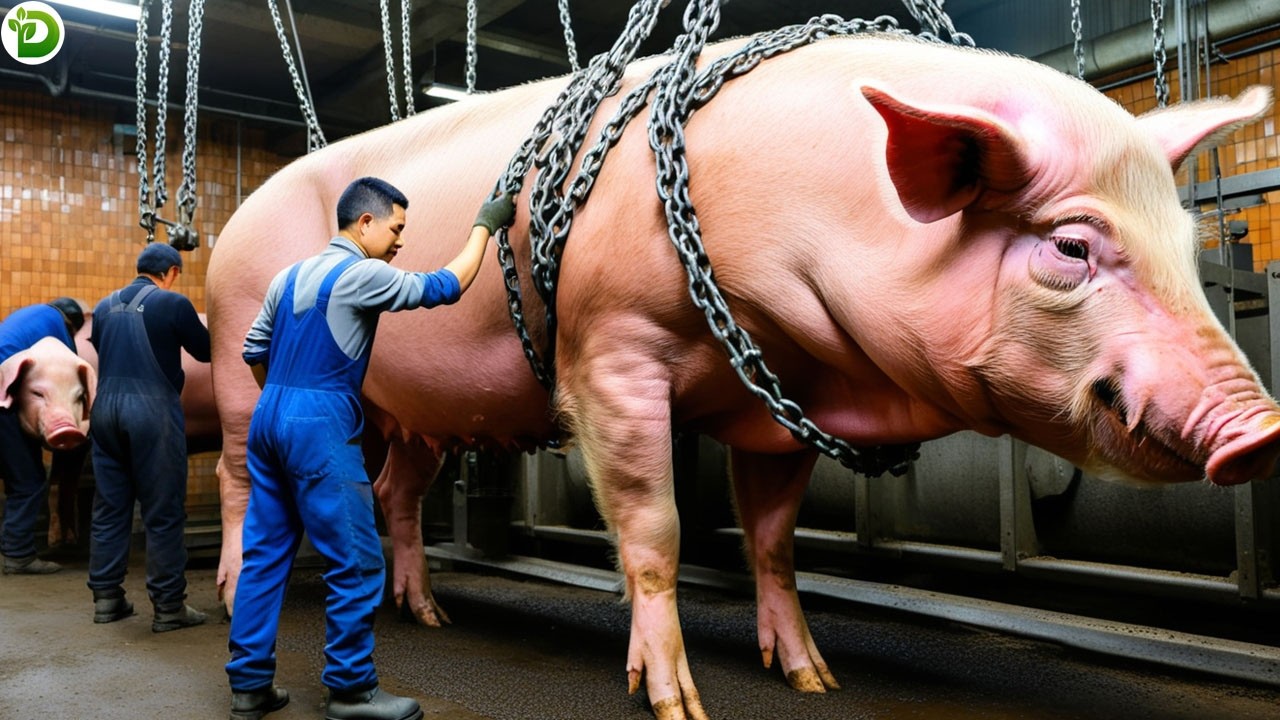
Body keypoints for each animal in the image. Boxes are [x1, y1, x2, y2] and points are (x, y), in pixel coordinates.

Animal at [208, 33, 1279, 720]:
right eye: (1069, 247)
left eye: (1189, 246)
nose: (1259, 432)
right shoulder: (611, 348)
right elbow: (655, 529)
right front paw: (676, 702)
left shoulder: (783, 396)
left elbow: (772, 541)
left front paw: (813, 680)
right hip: (240, 361)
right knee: (235, 472)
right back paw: (231, 596)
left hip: (417, 418)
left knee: (394, 491)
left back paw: (422, 611)